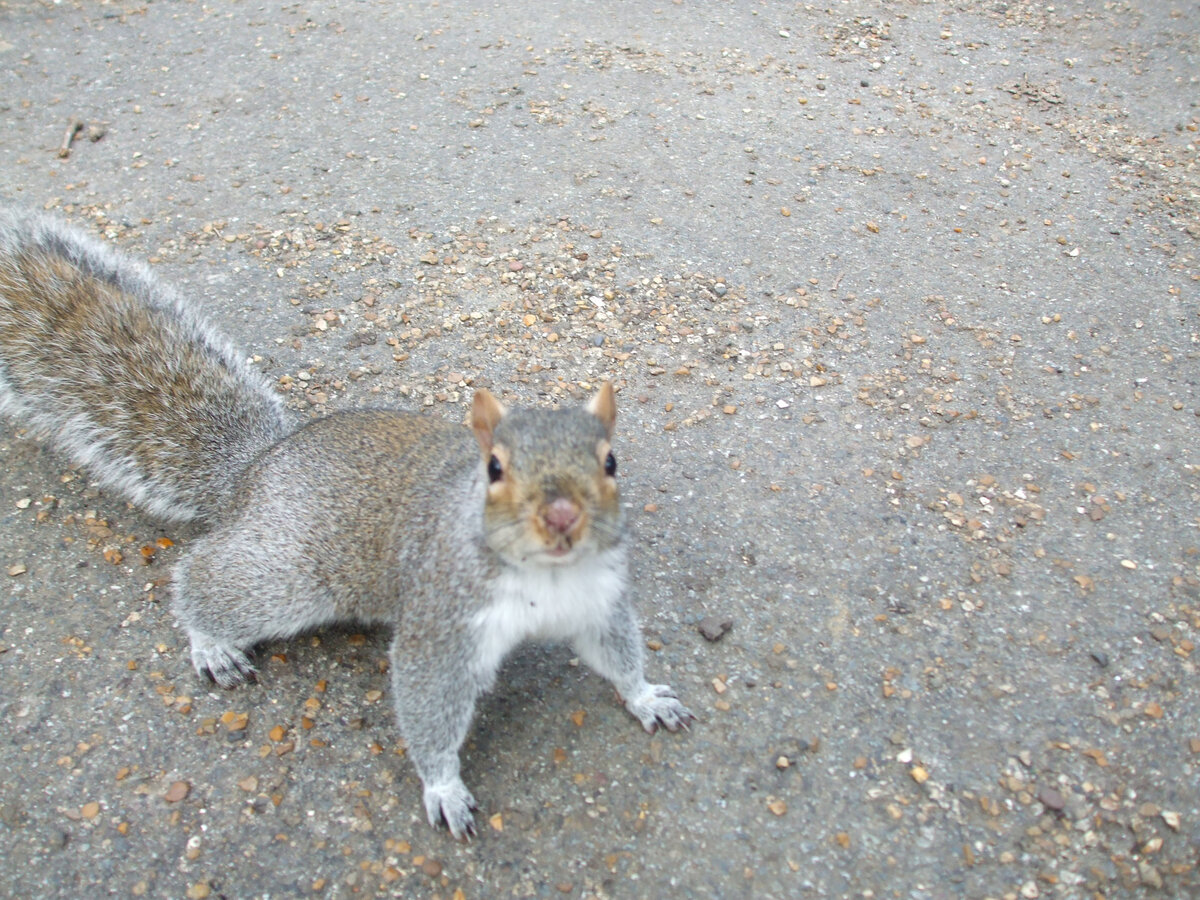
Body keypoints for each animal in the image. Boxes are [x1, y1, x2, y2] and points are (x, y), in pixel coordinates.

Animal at [0, 211, 696, 840]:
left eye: (611, 461)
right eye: (494, 468)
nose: (561, 517)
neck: (546, 576)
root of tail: (258, 465)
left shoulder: (597, 601)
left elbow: (617, 655)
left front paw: (646, 697)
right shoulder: (442, 621)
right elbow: (428, 700)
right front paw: (443, 788)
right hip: (289, 572)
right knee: (204, 575)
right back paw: (211, 642)